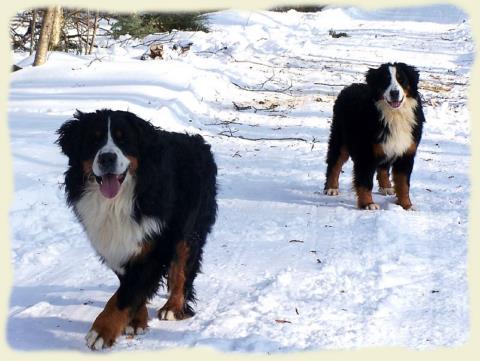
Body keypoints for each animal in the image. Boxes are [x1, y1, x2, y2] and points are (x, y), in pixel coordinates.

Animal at [55, 109, 218, 348]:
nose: (107, 157)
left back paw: (173, 307)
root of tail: (195, 140)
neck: (117, 203)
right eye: (94, 139)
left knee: (182, 267)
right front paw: (136, 320)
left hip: (189, 227)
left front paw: (101, 331)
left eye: (124, 139)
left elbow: (125, 294)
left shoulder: (154, 245)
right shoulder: (117, 244)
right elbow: (130, 285)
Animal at [324, 61, 426, 208]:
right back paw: (331, 188)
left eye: (402, 80)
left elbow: (403, 184)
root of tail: (350, 86)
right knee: (334, 163)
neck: (394, 115)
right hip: (341, 139)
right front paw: (368, 204)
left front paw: (406, 205)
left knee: (383, 167)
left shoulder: (406, 153)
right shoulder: (366, 152)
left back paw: (386, 187)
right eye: (385, 80)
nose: (394, 93)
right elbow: (365, 181)